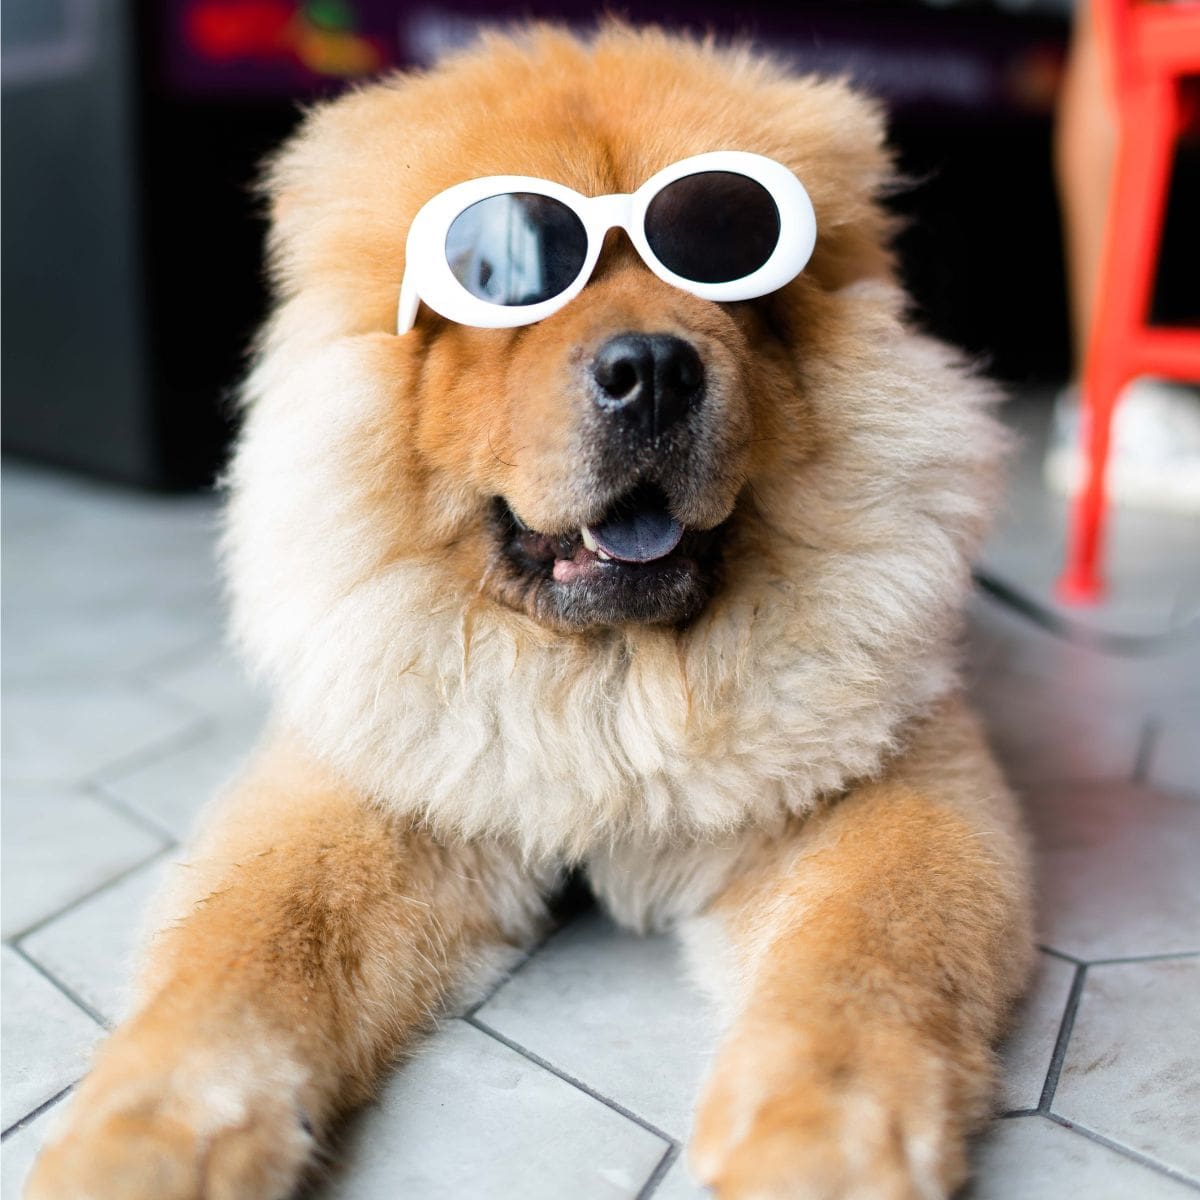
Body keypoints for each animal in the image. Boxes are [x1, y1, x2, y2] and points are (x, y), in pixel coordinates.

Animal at [32, 21, 1036, 1200]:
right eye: (505, 277)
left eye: (725, 253)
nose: (652, 368)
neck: (605, 678)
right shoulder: (366, 786)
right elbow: (244, 952)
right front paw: (142, 1142)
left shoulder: (894, 794)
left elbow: (865, 966)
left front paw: (817, 1144)